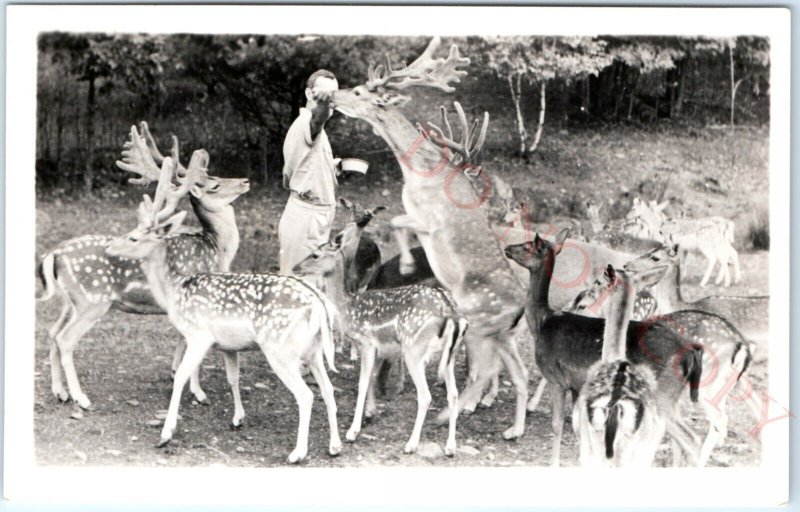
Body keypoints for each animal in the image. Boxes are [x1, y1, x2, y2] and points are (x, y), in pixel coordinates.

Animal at [36, 125, 248, 412]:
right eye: (215, 184)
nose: (245, 180)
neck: (217, 248)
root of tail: (53, 254)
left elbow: (181, 340)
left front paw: (174, 373)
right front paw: (198, 392)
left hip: (71, 301)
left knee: (52, 332)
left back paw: (60, 392)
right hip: (92, 300)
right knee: (65, 339)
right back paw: (81, 398)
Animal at [104, 157, 340, 464]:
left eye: (133, 237)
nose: (109, 247)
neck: (175, 289)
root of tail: (318, 305)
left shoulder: (199, 335)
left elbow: (181, 375)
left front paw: (166, 433)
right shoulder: (228, 345)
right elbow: (232, 377)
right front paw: (237, 418)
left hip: (281, 350)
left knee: (306, 395)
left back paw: (297, 453)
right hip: (313, 351)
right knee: (328, 390)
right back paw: (335, 446)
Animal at [294, 224, 468, 456]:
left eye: (315, 254)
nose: (296, 267)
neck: (349, 309)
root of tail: (452, 312)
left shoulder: (367, 342)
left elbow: (362, 383)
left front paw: (353, 431)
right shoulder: (379, 350)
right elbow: (372, 380)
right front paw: (370, 414)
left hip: (414, 348)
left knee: (425, 396)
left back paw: (411, 444)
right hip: (450, 354)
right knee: (454, 395)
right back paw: (450, 446)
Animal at [506, 230, 700, 466]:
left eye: (527, 246)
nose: (507, 248)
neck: (542, 321)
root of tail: (690, 354)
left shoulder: (557, 378)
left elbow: (557, 424)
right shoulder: (578, 386)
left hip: (661, 397)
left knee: (687, 438)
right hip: (671, 400)